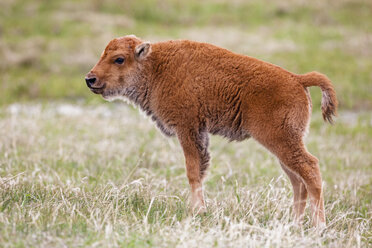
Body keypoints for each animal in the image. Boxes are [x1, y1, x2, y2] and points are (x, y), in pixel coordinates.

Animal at [86, 35, 338, 229]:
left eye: (119, 59)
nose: (90, 79)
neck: (155, 66)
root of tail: (297, 79)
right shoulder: (199, 133)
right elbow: (200, 169)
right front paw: (200, 210)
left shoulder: (186, 128)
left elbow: (192, 171)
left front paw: (196, 212)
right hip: (282, 145)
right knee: (297, 180)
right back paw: (293, 224)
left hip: (281, 141)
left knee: (310, 169)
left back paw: (319, 226)